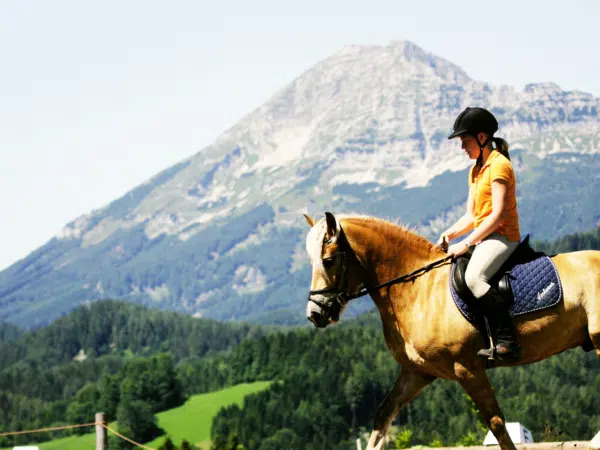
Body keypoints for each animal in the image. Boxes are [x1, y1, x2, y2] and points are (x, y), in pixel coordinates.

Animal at [304, 213, 600, 450]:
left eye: (328, 260)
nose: (315, 314)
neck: (417, 289)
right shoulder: (416, 372)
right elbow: (382, 417)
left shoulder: (467, 368)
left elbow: (496, 423)